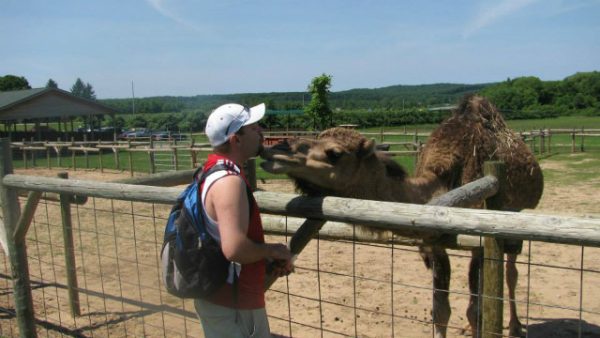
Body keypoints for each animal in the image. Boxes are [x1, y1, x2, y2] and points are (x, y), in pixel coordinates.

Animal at [260, 95, 540, 338]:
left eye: (335, 153)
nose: (275, 150)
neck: (443, 182)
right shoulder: (433, 243)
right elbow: (441, 310)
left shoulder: (480, 241)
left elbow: (476, 310)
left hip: (514, 218)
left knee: (511, 271)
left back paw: (515, 326)